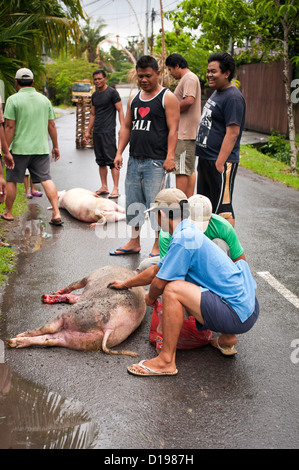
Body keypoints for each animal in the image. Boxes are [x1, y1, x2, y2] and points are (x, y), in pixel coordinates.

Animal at [7, 264, 146, 356]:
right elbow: (72, 296)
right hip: (78, 339)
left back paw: (17, 336)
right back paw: (13, 342)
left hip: (73, 314)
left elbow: (73, 285)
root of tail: (110, 328)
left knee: (49, 328)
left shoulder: (89, 276)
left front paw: (56, 292)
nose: (42, 297)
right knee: (49, 340)